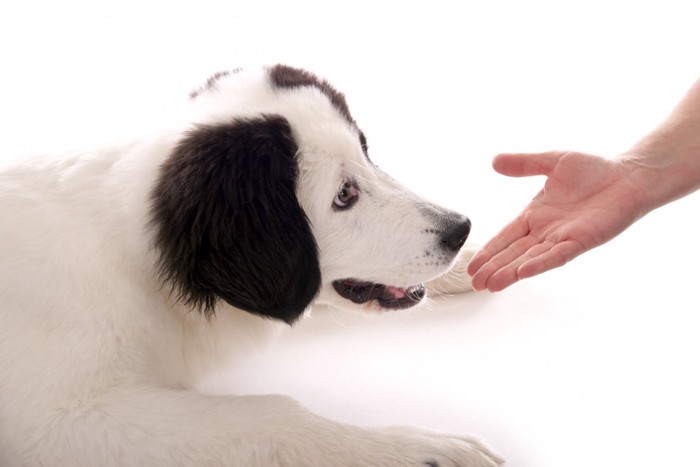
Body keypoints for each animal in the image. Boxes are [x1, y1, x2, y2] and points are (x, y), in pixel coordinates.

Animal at [0, 66, 504, 467]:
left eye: (367, 154)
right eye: (344, 195)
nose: (459, 230)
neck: (144, 266)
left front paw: (480, 257)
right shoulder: (61, 421)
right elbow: (278, 414)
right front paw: (418, 450)